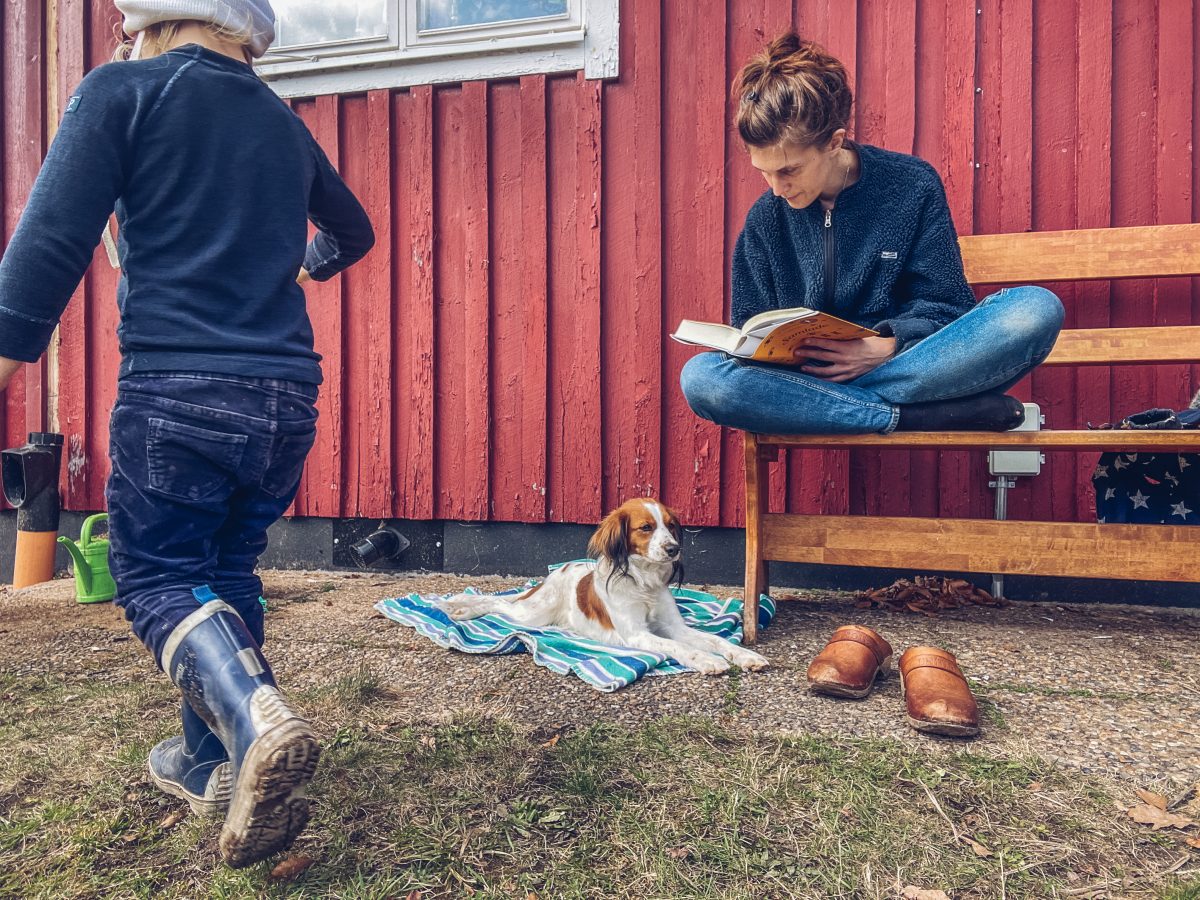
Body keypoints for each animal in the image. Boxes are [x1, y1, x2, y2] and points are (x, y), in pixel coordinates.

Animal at [439, 501, 768, 676]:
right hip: (532, 614)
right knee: (499, 604)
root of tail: (557, 572)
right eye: (646, 527)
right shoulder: (637, 634)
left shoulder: (675, 627)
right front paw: (707, 661)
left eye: (671, 526)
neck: (643, 582)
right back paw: (460, 608)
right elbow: (681, 647)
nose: (674, 549)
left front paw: (744, 655)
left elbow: (716, 640)